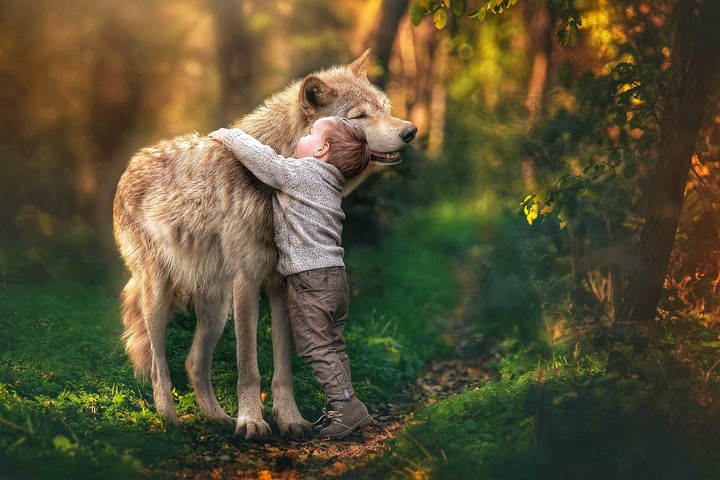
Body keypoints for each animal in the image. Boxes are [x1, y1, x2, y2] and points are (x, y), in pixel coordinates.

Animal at [112, 50, 417, 440]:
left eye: (383, 107)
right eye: (361, 116)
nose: (410, 131)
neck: (274, 187)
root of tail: (131, 164)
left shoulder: (281, 286)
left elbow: (282, 368)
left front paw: (289, 419)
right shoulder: (247, 282)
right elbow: (249, 367)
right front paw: (252, 422)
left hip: (216, 309)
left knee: (194, 362)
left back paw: (218, 419)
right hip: (159, 297)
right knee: (158, 363)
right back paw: (170, 420)